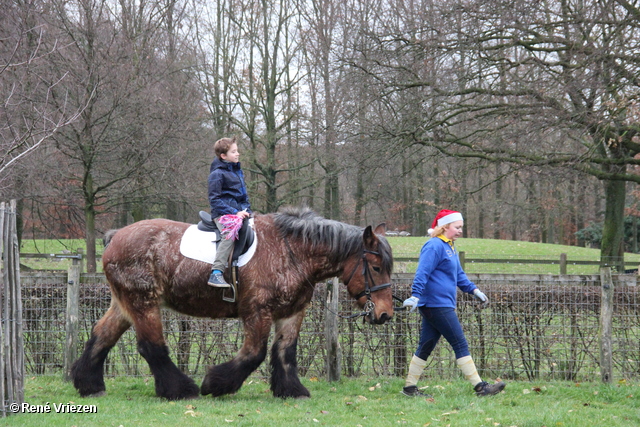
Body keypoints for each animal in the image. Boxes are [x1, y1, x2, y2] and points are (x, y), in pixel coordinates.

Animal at [72, 207, 398, 402]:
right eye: (377, 267)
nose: (385, 314)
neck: (291, 252)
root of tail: (116, 236)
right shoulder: (257, 312)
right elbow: (254, 354)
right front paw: (215, 384)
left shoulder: (292, 313)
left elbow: (285, 352)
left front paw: (291, 390)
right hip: (144, 303)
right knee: (151, 347)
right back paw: (181, 390)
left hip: (125, 303)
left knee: (101, 336)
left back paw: (89, 385)